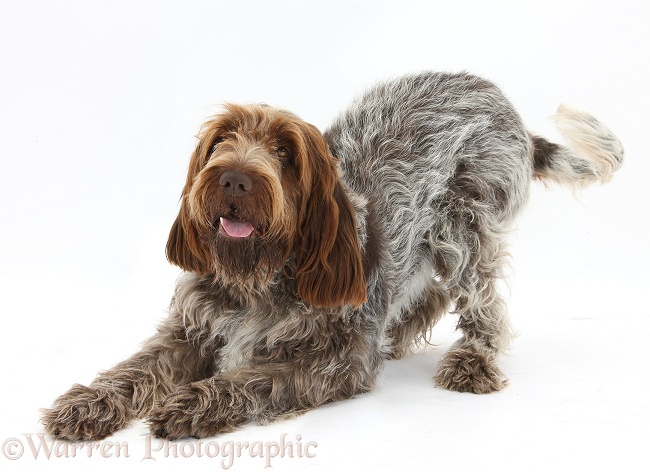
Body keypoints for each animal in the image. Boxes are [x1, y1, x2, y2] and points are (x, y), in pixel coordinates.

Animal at [41, 70, 624, 438]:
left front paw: (196, 401)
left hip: (465, 225)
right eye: (222, 140)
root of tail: (507, 109)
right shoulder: (192, 329)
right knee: (428, 296)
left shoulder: (336, 360)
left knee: (482, 303)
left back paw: (473, 360)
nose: (234, 179)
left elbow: (255, 379)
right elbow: (135, 368)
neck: (262, 277)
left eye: (284, 152)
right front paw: (89, 402)